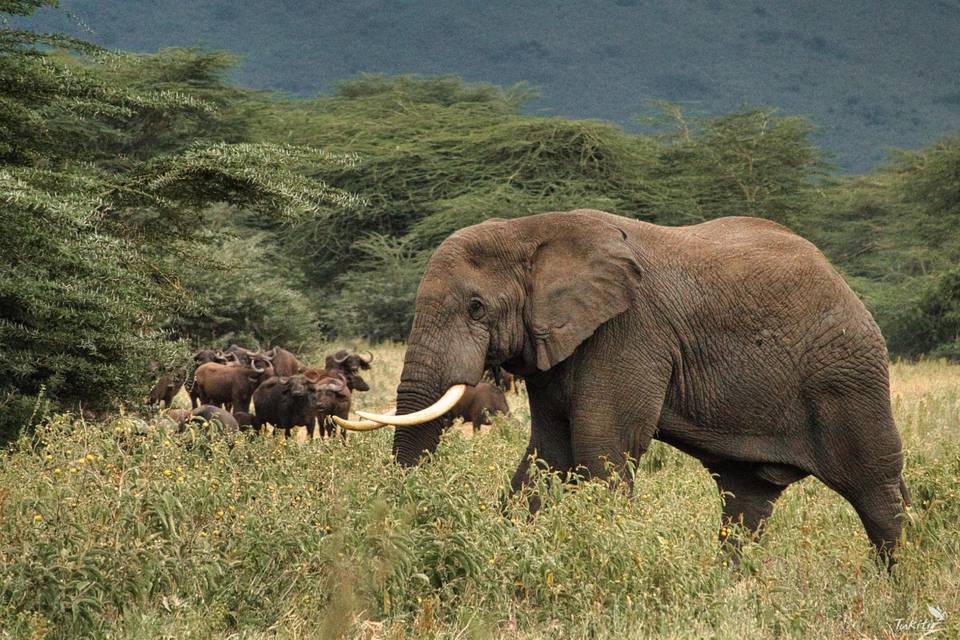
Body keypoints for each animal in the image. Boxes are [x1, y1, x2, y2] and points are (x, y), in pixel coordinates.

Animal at [336, 209, 908, 564]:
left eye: (476, 307)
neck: (529, 230)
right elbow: (549, 455)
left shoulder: (628, 332)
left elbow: (602, 448)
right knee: (745, 502)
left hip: (849, 378)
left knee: (878, 494)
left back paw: (896, 589)